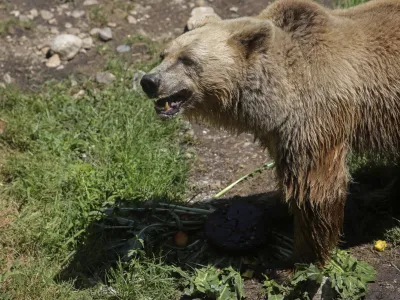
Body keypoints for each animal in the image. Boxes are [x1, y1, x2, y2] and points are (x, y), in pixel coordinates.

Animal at [139, 0, 400, 266]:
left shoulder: (315, 117)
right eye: (164, 55)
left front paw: (302, 254)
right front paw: (274, 203)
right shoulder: (279, 130)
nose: (149, 81)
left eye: (187, 59)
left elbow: (316, 188)